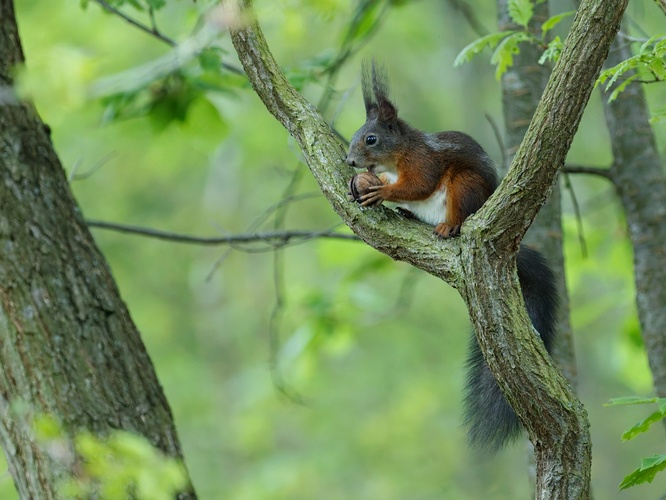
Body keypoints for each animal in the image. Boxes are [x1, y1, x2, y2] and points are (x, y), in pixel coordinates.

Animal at [342, 62, 556, 454]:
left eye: (371, 139)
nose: (350, 162)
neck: (398, 156)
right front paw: (361, 185)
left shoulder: (423, 162)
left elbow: (420, 184)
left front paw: (384, 190)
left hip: (464, 186)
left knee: (455, 210)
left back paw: (448, 227)